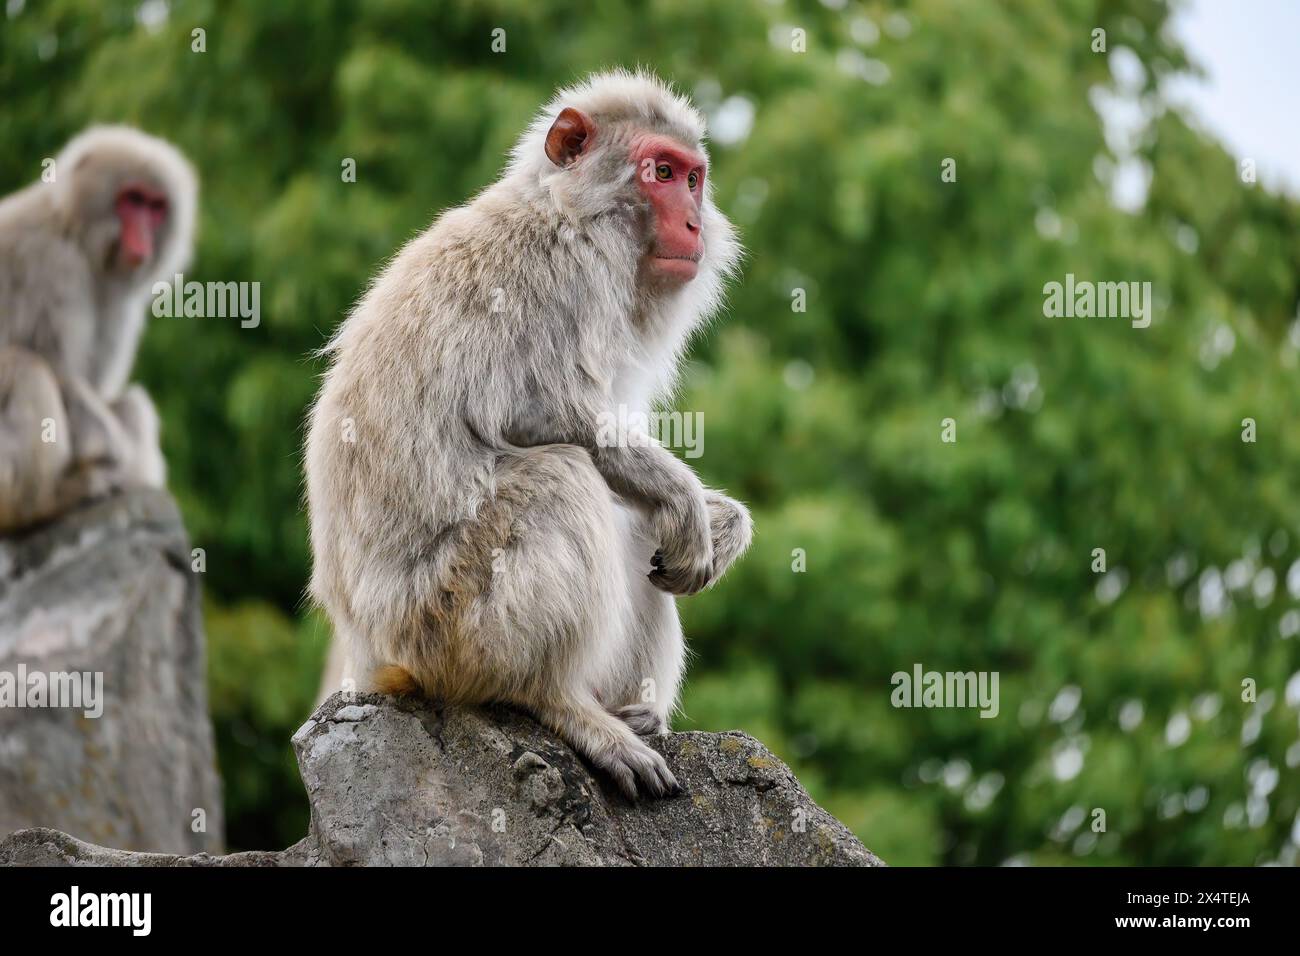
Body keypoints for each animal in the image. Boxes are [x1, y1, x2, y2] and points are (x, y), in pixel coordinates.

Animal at [0, 126, 197, 533]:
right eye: (132, 200)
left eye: (156, 207)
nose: (143, 238)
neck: (75, 236)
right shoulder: (53, 265)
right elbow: (61, 370)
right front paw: (113, 451)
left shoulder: (119, 299)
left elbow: (97, 387)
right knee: (24, 367)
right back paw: (41, 504)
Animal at [306, 70, 752, 798]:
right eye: (660, 173)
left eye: (693, 178)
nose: (693, 223)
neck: (565, 210)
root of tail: (370, 655)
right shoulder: (568, 277)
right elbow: (536, 414)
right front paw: (687, 498)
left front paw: (723, 522)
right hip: (445, 624)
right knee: (561, 475)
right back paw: (559, 700)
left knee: (631, 521)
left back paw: (633, 710)